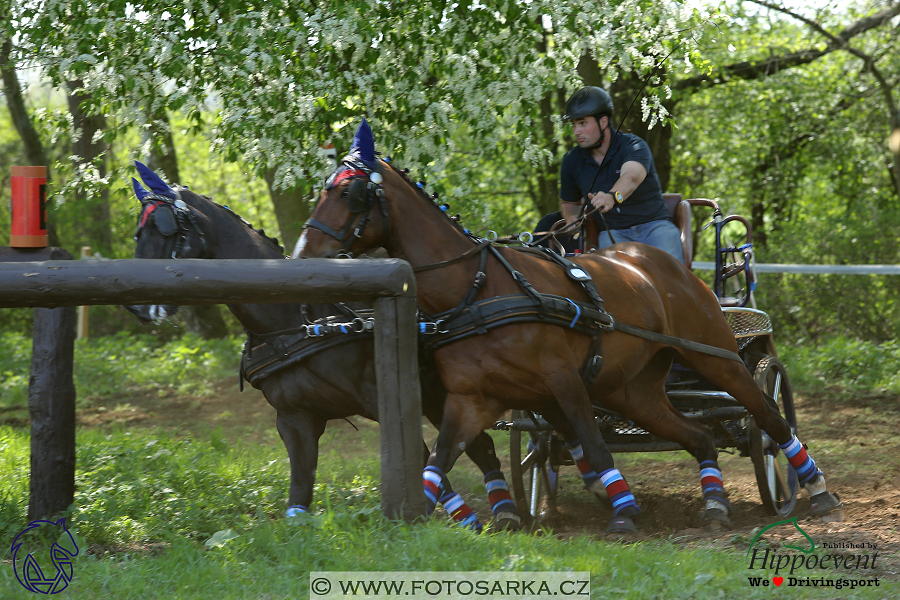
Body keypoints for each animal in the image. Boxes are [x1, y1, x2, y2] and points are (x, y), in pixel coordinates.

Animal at [125, 162, 520, 532]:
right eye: (138, 231)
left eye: (164, 226)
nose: (135, 305)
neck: (296, 320)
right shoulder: (294, 420)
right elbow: (300, 489)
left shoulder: (381, 403)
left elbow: (421, 462)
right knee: (480, 445)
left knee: (477, 446)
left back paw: (504, 514)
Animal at [296, 119, 844, 532]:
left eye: (351, 194)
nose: (303, 256)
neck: (479, 289)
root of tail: (668, 267)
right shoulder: (472, 399)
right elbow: (441, 462)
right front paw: (419, 520)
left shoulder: (562, 381)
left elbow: (593, 442)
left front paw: (624, 512)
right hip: (634, 391)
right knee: (698, 436)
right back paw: (714, 504)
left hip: (714, 356)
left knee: (765, 415)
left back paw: (813, 488)